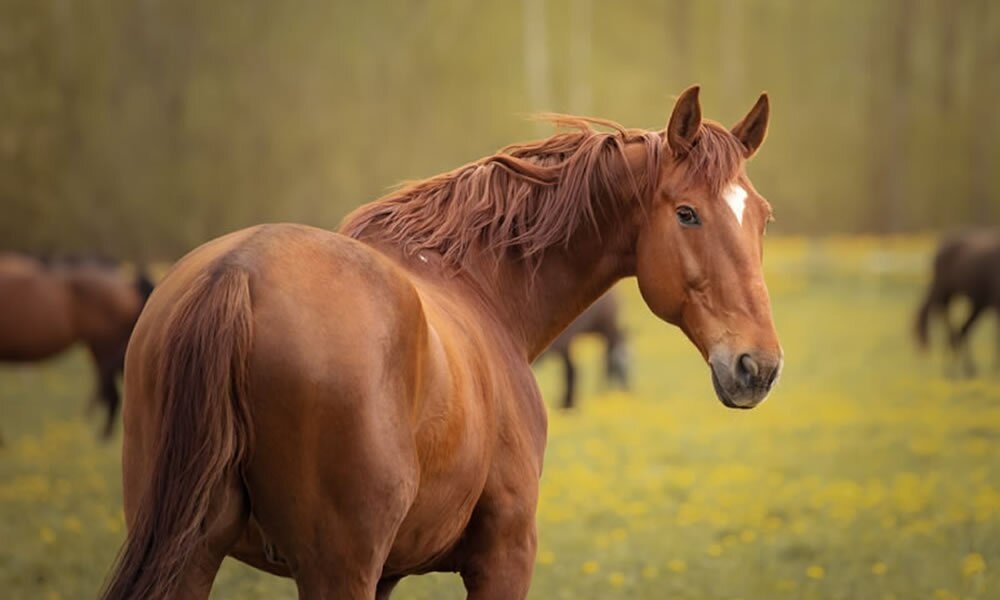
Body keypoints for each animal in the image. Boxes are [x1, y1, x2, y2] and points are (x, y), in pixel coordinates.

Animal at [103, 85, 788, 600]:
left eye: (762, 217)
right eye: (687, 213)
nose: (758, 366)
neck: (479, 288)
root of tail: (238, 273)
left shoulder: (389, 572)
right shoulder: (505, 554)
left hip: (193, 552)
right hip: (334, 570)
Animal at [916, 229, 1000, 376]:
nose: (923, 349)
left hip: (973, 302)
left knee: (960, 329)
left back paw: (964, 368)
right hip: (949, 295)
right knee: (954, 329)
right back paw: (955, 369)